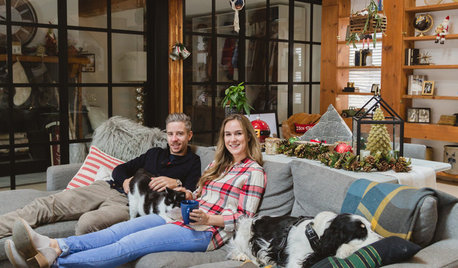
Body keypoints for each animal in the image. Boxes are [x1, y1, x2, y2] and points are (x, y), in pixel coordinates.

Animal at [229, 211, 382, 268]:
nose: (383, 239)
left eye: (370, 227)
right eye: (361, 231)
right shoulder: (294, 262)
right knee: (240, 250)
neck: (315, 235)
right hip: (245, 231)